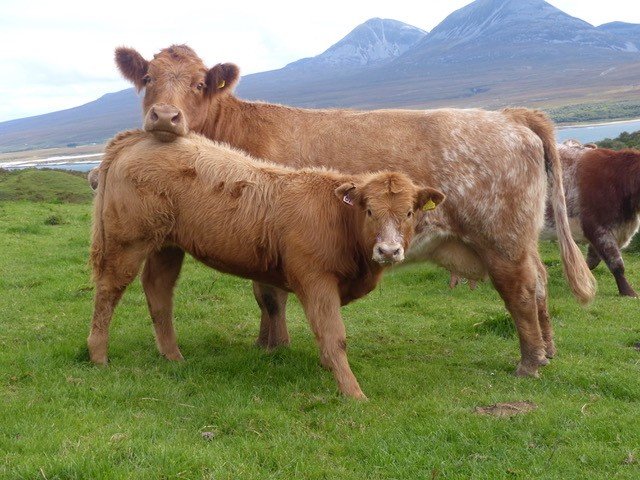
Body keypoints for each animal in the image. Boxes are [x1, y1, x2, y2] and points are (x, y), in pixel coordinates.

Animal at [89, 123, 444, 398]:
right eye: (369, 210)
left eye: (409, 212)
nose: (388, 251)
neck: (338, 220)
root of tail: (139, 137)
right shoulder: (315, 281)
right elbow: (334, 335)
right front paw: (352, 392)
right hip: (127, 241)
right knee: (109, 290)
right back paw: (98, 356)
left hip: (168, 245)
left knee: (158, 289)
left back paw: (173, 356)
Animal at [112, 43, 596, 376]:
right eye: (148, 78)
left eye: (198, 83)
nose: (164, 116)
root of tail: (511, 116)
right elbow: (264, 293)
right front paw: (267, 343)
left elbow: (269, 295)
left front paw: (275, 346)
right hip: (521, 240)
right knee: (540, 283)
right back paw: (548, 352)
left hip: (502, 238)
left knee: (521, 290)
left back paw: (529, 364)